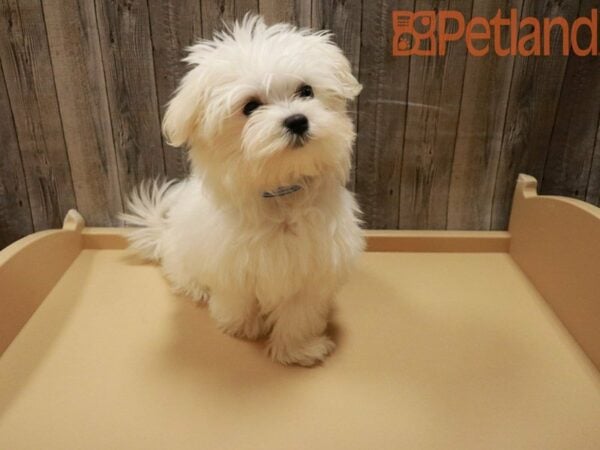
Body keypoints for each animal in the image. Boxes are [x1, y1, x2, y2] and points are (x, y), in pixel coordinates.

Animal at [121, 15, 364, 366]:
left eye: (306, 91)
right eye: (250, 107)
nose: (297, 120)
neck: (281, 191)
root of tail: (163, 234)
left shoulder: (313, 267)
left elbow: (300, 312)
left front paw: (298, 349)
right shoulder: (230, 264)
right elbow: (237, 297)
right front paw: (242, 326)